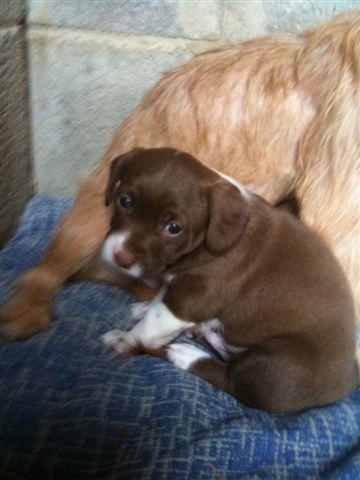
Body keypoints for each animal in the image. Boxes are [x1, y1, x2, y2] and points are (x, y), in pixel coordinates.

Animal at [100, 148, 358, 414]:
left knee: (231, 380)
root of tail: (348, 381)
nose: (120, 257)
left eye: (173, 228)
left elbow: (151, 326)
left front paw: (125, 339)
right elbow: (160, 299)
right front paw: (144, 308)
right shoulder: (179, 283)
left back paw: (187, 356)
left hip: (276, 366)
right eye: (124, 201)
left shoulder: (195, 295)